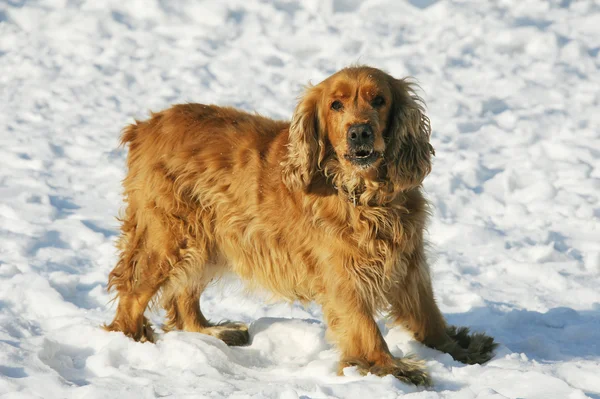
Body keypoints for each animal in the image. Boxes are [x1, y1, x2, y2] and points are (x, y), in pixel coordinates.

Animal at [104, 66, 496, 388]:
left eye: (379, 100)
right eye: (336, 105)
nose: (360, 132)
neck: (365, 195)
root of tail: (143, 127)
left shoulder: (409, 260)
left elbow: (428, 314)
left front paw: (457, 347)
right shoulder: (343, 273)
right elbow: (364, 326)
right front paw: (387, 367)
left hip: (207, 240)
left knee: (183, 294)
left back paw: (211, 332)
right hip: (170, 237)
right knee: (131, 292)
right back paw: (134, 340)